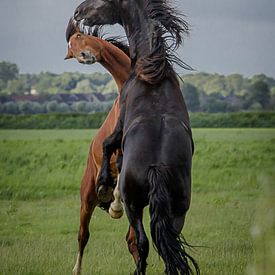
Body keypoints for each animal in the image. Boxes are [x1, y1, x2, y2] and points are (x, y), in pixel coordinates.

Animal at [64, 20, 134, 275]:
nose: (83, 56)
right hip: (86, 199)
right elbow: (117, 160)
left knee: (132, 240)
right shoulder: (118, 148)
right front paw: (114, 204)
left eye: (80, 37)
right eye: (71, 50)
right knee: (82, 235)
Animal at [74, 1, 201, 274]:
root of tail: (157, 167)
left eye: (101, 3)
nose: (78, 12)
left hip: (134, 206)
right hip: (177, 210)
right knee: (168, 247)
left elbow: (108, 144)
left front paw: (104, 186)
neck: (152, 73)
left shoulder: (121, 122)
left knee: (141, 243)